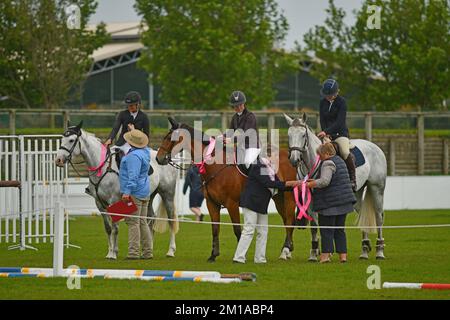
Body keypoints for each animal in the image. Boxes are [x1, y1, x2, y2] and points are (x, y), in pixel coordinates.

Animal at [54, 122, 178, 260]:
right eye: (62, 139)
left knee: (171, 220)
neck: (103, 168)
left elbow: (115, 227)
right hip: (149, 197)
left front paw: (113, 253)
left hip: (167, 195)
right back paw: (148, 249)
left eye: (71, 140)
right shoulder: (100, 204)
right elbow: (108, 228)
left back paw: (171, 251)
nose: (58, 160)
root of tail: (164, 158)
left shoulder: (113, 201)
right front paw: (110, 252)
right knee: (150, 219)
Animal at [155, 117, 298, 262]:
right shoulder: (212, 204)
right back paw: (287, 250)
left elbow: (237, 230)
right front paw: (213, 255)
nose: (158, 158)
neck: (216, 166)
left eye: (169, 138)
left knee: (290, 220)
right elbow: (215, 229)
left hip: (289, 197)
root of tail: (289, 157)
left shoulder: (232, 204)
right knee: (286, 221)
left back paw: (286, 250)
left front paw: (241, 256)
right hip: (278, 198)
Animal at [284, 114, 386, 258]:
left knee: (379, 217)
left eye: (303, 135)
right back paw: (364, 251)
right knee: (362, 215)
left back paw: (379, 251)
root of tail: (374, 146)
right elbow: (314, 225)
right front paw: (314, 253)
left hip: (377, 188)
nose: (294, 159)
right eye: (289, 135)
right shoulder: (310, 198)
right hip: (357, 193)